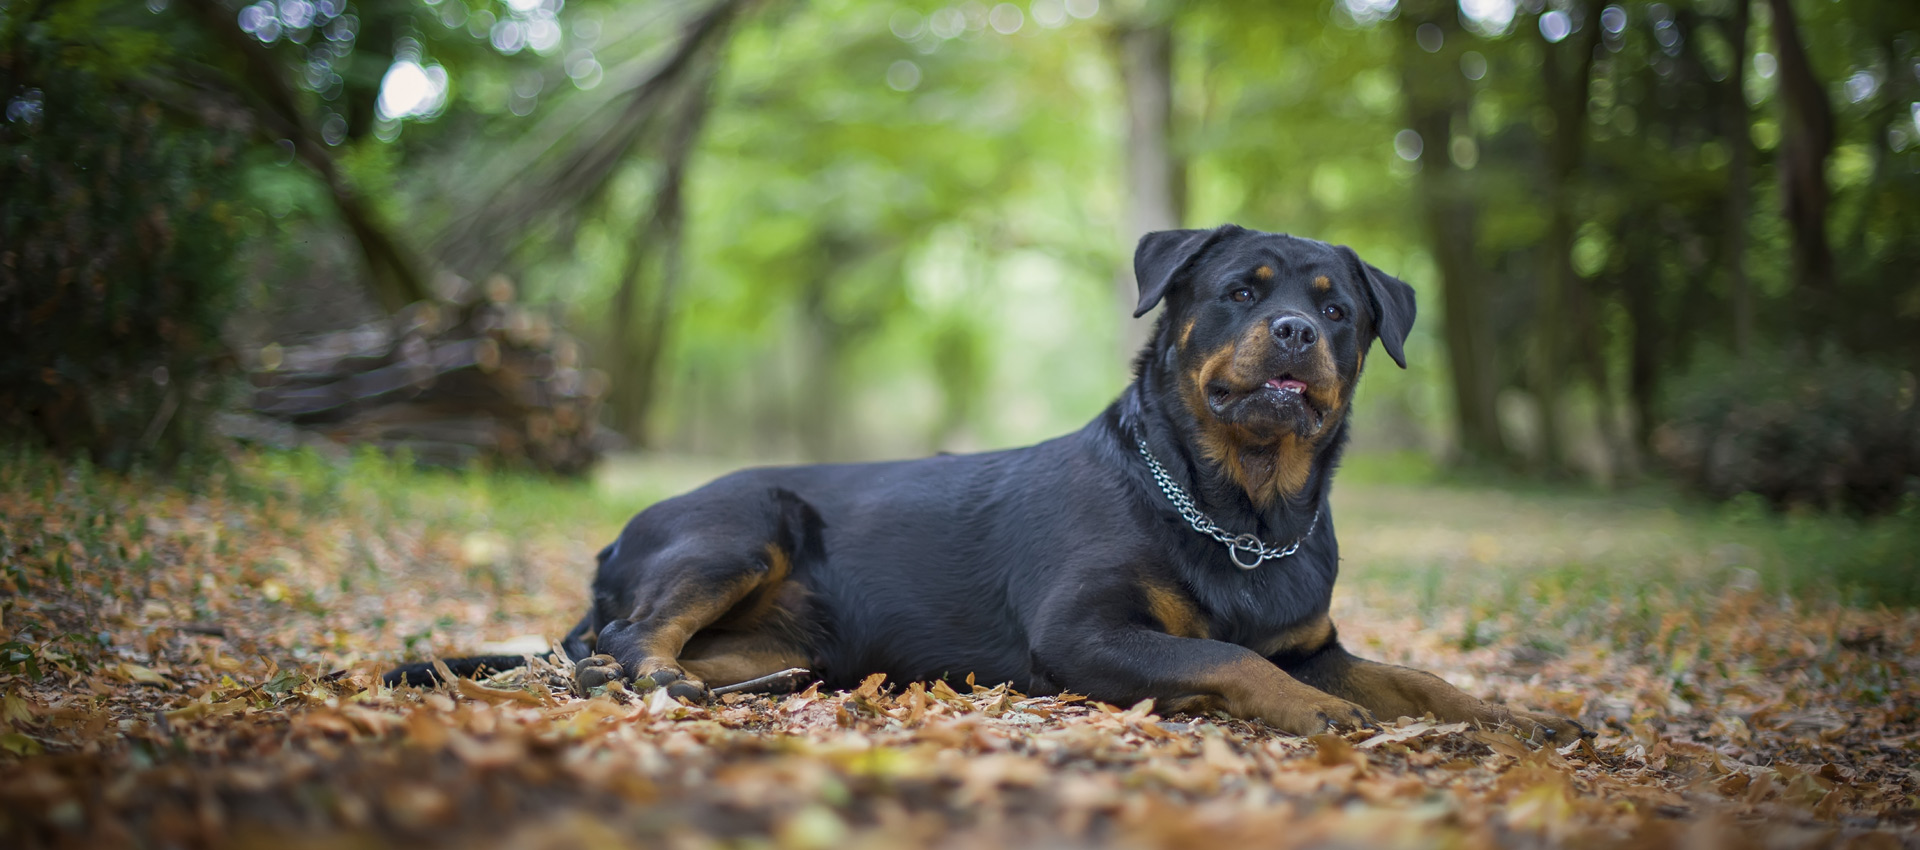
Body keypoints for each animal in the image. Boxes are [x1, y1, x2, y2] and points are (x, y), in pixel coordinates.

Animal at [382, 228, 1582, 744]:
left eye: (1338, 310)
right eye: (1243, 292)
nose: (1294, 331)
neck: (1241, 509)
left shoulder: (1315, 638)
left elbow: (1414, 676)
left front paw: (1516, 713)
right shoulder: (1086, 631)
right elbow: (1229, 657)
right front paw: (1332, 718)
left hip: (795, 634)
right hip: (741, 525)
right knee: (623, 646)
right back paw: (670, 686)